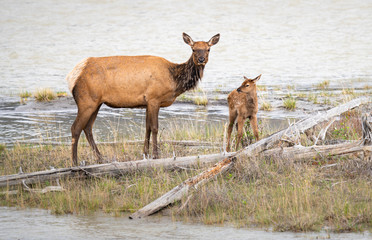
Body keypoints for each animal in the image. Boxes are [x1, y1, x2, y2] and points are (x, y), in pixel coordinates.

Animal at [66, 32, 219, 166]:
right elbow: (155, 127)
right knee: (75, 128)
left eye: (208, 49)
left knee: (88, 128)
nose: (201, 60)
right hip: (86, 101)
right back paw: (74, 162)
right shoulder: (154, 98)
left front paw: (145, 153)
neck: (174, 80)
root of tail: (72, 76)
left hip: (96, 103)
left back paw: (100, 158)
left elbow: (147, 128)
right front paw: (156, 155)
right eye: (193, 49)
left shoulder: (147, 103)